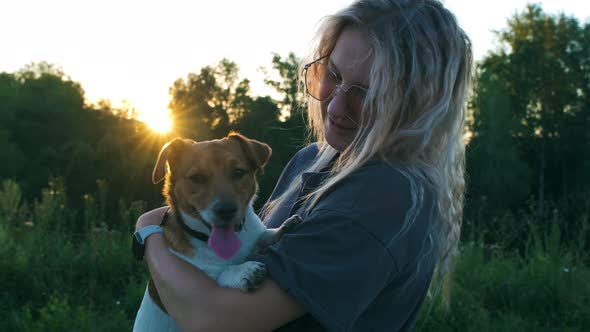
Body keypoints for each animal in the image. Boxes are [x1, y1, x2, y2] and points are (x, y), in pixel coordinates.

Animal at [134, 133, 300, 332]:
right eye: (197, 177)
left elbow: (263, 235)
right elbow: (219, 273)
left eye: (238, 172)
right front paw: (242, 271)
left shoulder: (254, 236)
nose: (226, 210)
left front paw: (283, 228)